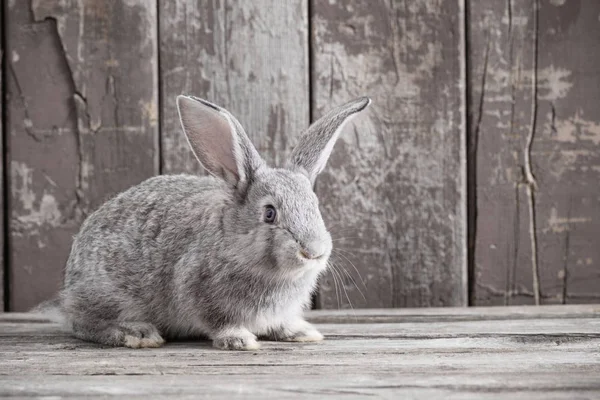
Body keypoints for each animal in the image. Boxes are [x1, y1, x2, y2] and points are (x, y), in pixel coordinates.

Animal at [52, 94, 370, 350]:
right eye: (269, 213)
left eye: (315, 205)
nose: (314, 251)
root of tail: (69, 280)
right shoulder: (197, 290)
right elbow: (219, 322)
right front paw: (240, 340)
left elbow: (282, 323)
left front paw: (303, 333)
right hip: (106, 294)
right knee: (83, 323)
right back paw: (137, 334)